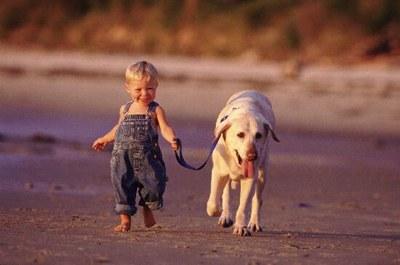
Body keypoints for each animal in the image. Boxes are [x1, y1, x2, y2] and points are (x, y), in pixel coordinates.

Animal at [206, 89, 278, 235]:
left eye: (258, 135)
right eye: (240, 134)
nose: (252, 156)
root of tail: (252, 90)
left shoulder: (250, 178)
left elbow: (243, 206)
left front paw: (240, 226)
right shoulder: (218, 172)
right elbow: (213, 203)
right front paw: (219, 211)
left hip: (263, 174)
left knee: (257, 199)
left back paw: (254, 223)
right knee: (226, 194)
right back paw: (225, 216)